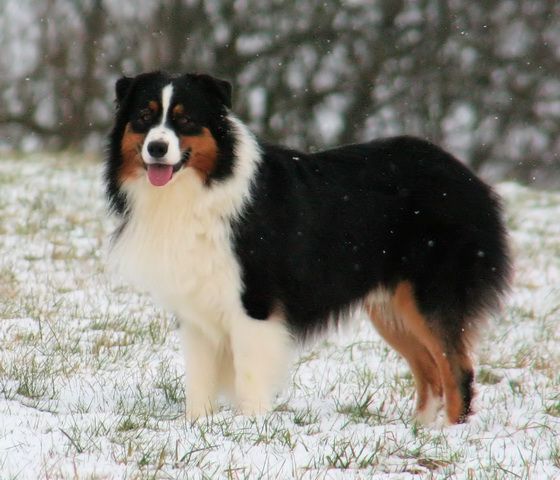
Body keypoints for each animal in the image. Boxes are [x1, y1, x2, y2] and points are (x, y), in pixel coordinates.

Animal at [105, 71, 511, 425]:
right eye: (143, 117)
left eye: (185, 119)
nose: (157, 148)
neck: (202, 188)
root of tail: (470, 177)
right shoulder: (195, 307)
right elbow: (199, 379)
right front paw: (198, 425)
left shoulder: (254, 303)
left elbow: (249, 375)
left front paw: (250, 427)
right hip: (392, 306)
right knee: (430, 370)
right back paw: (421, 432)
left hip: (431, 294)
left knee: (457, 369)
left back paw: (451, 435)